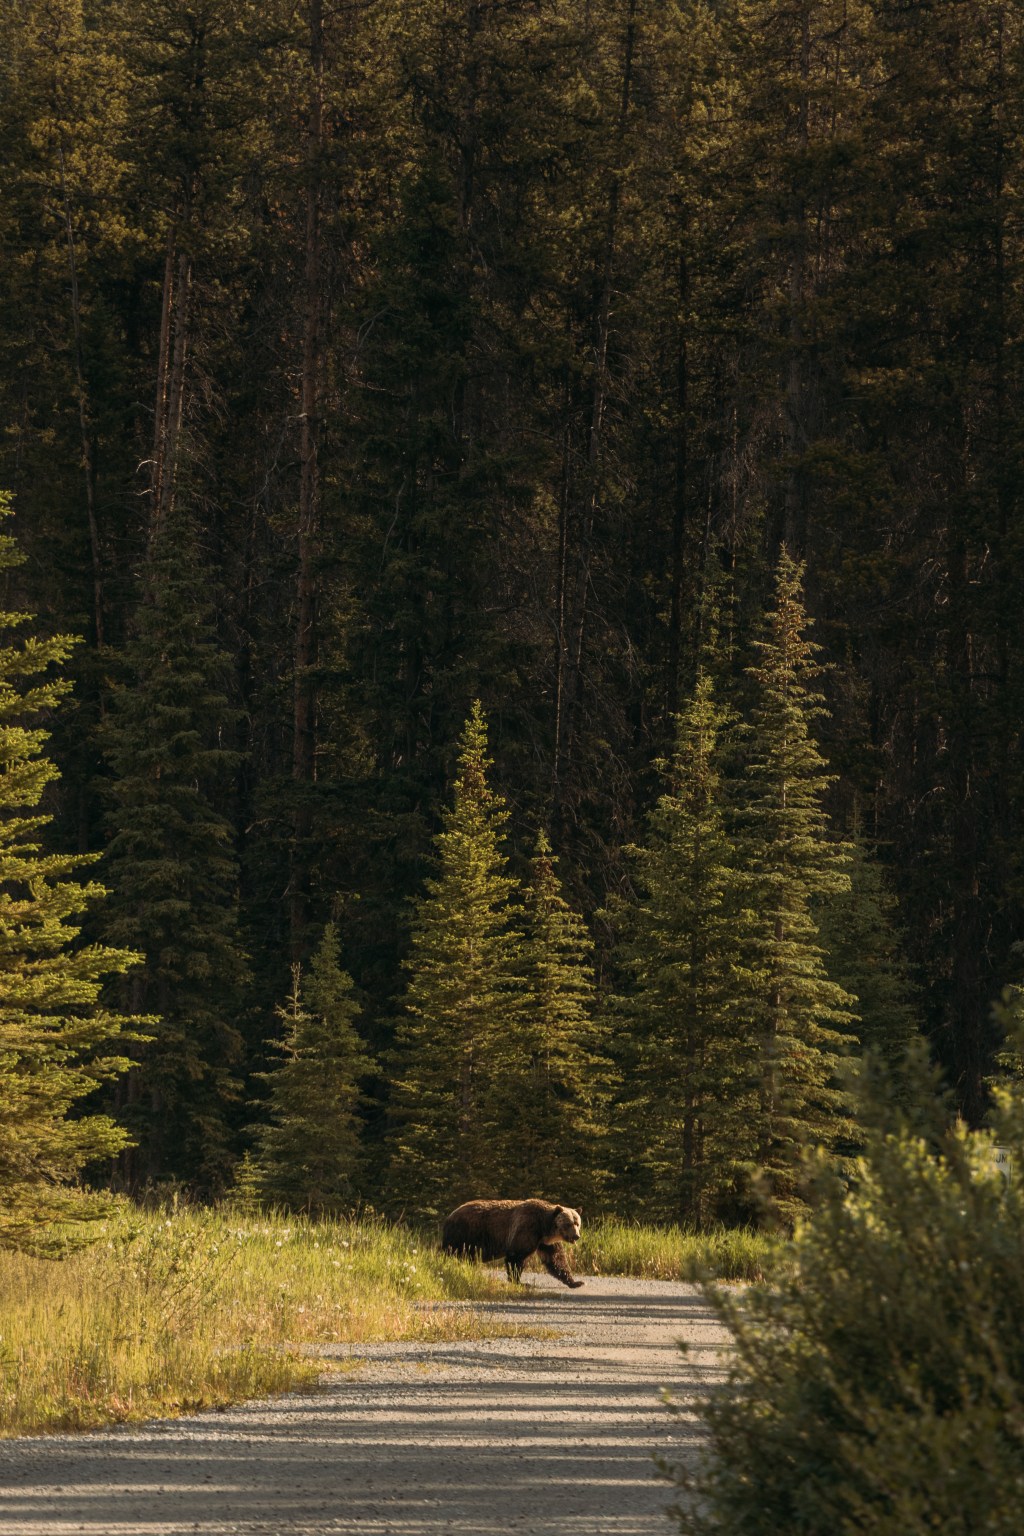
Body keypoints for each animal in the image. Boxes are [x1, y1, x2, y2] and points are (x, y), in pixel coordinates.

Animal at [440, 1198, 584, 1289]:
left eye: (577, 1223)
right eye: (568, 1224)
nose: (576, 1236)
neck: (544, 1228)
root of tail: (449, 1216)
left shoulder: (545, 1242)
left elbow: (556, 1259)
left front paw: (576, 1282)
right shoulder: (527, 1228)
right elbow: (516, 1256)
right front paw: (520, 1282)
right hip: (465, 1233)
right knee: (454, 1253)